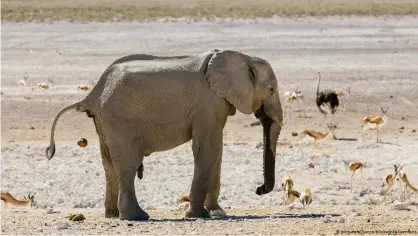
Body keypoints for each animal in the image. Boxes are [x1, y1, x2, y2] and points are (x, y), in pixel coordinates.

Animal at [45, 48, 284, 220]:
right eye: (271, 89)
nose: (259, 189)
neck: (242, 56)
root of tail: (92, 95)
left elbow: (216, 152)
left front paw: (218, 213)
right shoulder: (208, 104)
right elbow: (206, 149)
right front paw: (198, 215)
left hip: (104, 122)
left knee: (109, 166)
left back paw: (112, 215)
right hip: (120, 121)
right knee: (128, 165)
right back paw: (137, 217)